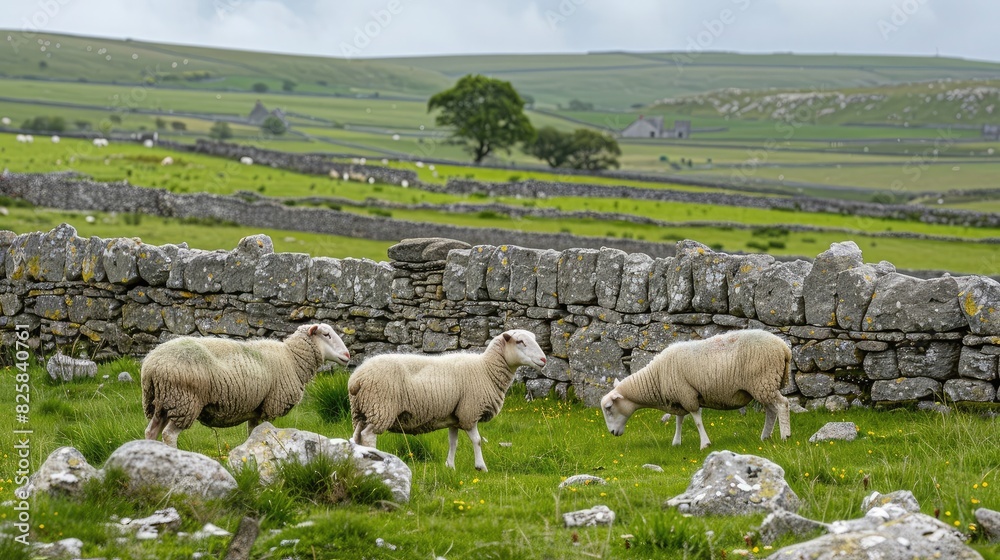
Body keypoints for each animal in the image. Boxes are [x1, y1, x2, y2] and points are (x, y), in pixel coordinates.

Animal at [142, 323, 350, 448]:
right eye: (326, 334)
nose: (347, 355)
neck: (291, 358)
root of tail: (151, 364)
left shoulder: (257, 409)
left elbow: (253, 433)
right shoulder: (270, 406)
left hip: (162, 402)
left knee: (151, 431)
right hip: (184, 401)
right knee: (169, 435)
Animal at [348, 329, 547, 472]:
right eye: (520, 342)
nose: (544, 359)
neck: (486, 369)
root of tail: (357, 379)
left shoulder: (454, 416)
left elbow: (453, 442)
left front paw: (450, 466)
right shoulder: (469, 411)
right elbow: (477, 440)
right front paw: (481, 467)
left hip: (361, 411)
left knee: (356, 436)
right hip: (380, 408)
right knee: (368, 435)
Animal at [600, 329, 791, 450]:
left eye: (609, 408)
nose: (612, 433)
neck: (657, 376)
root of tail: (784, 348)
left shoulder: (687, 394)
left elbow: (697, 419)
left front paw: (705, 444)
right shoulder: (679, 396)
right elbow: (679, 420)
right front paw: (676, 443)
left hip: (764, 381)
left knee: (782, 404)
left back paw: (785, 436)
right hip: (764, 385)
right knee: (771, 410)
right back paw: (765, 437)